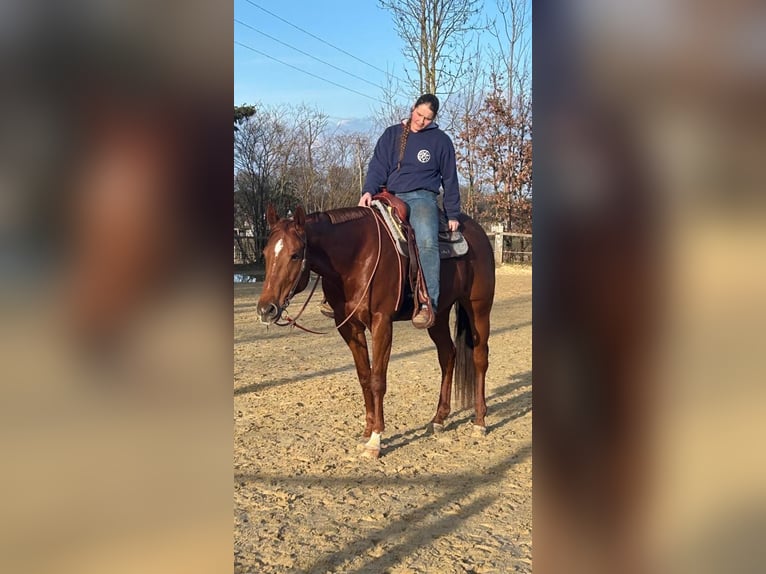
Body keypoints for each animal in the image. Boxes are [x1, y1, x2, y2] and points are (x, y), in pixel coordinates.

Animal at [256, 203, 496, 458]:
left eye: (294, 254)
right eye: (266, 253)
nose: (266, 309)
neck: (357, 258)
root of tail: (478, 232)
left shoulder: (382, 323)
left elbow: (378, 379)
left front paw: (376, 440)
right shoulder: (349, 327)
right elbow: (364, 377)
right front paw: (367, 430)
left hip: (479, 309)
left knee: (480, 358)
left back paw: (480, 421)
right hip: (438, 316)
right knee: (447, 355)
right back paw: (438, 419)